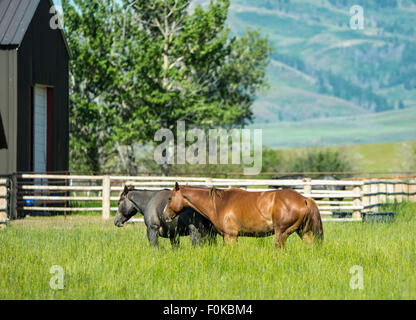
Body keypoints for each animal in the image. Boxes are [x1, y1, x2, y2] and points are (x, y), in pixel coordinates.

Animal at [162, 182, 322, 248]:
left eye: (169, 198)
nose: (165, 215)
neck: (219, 203)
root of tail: (304, 199)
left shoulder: (231, 236)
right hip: (303, 232)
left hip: (282, 233)